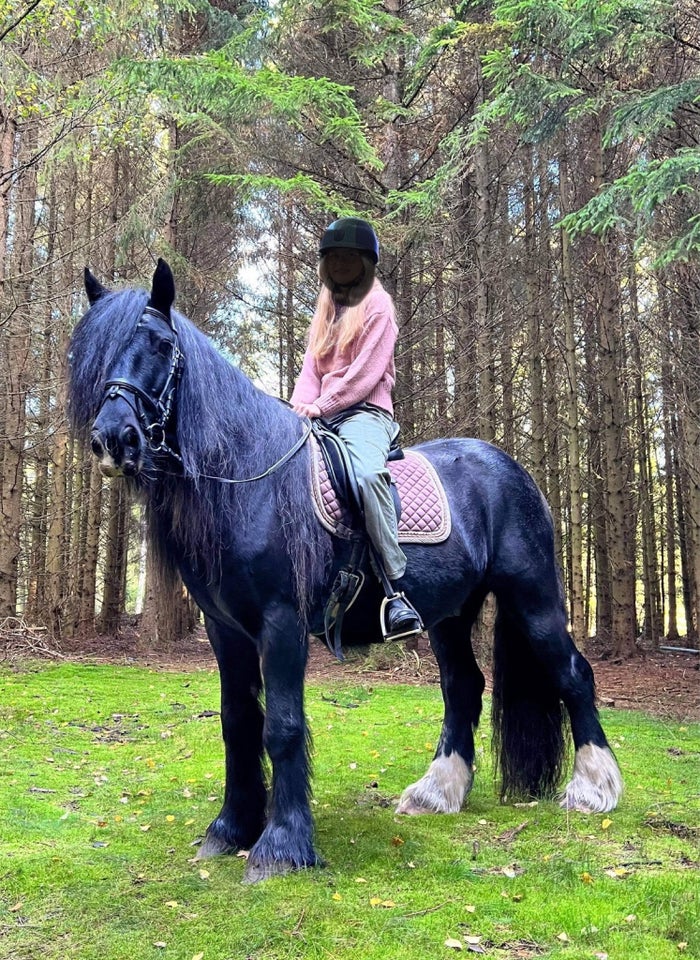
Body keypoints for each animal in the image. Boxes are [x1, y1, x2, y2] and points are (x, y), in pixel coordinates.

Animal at [67, 258, 624, 880]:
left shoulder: (281, 623)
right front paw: (231, 827)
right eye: (91, 355)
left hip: (533, 597)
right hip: (450, 615)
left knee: (573, 674)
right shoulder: (225, 630)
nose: (113, 439)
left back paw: (593, 789)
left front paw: (282, 845)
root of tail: (511, 468)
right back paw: (437, 792)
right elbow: (238, 722)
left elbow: (282, 726)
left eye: (161, 345)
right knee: (464, 686)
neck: (250, 480)